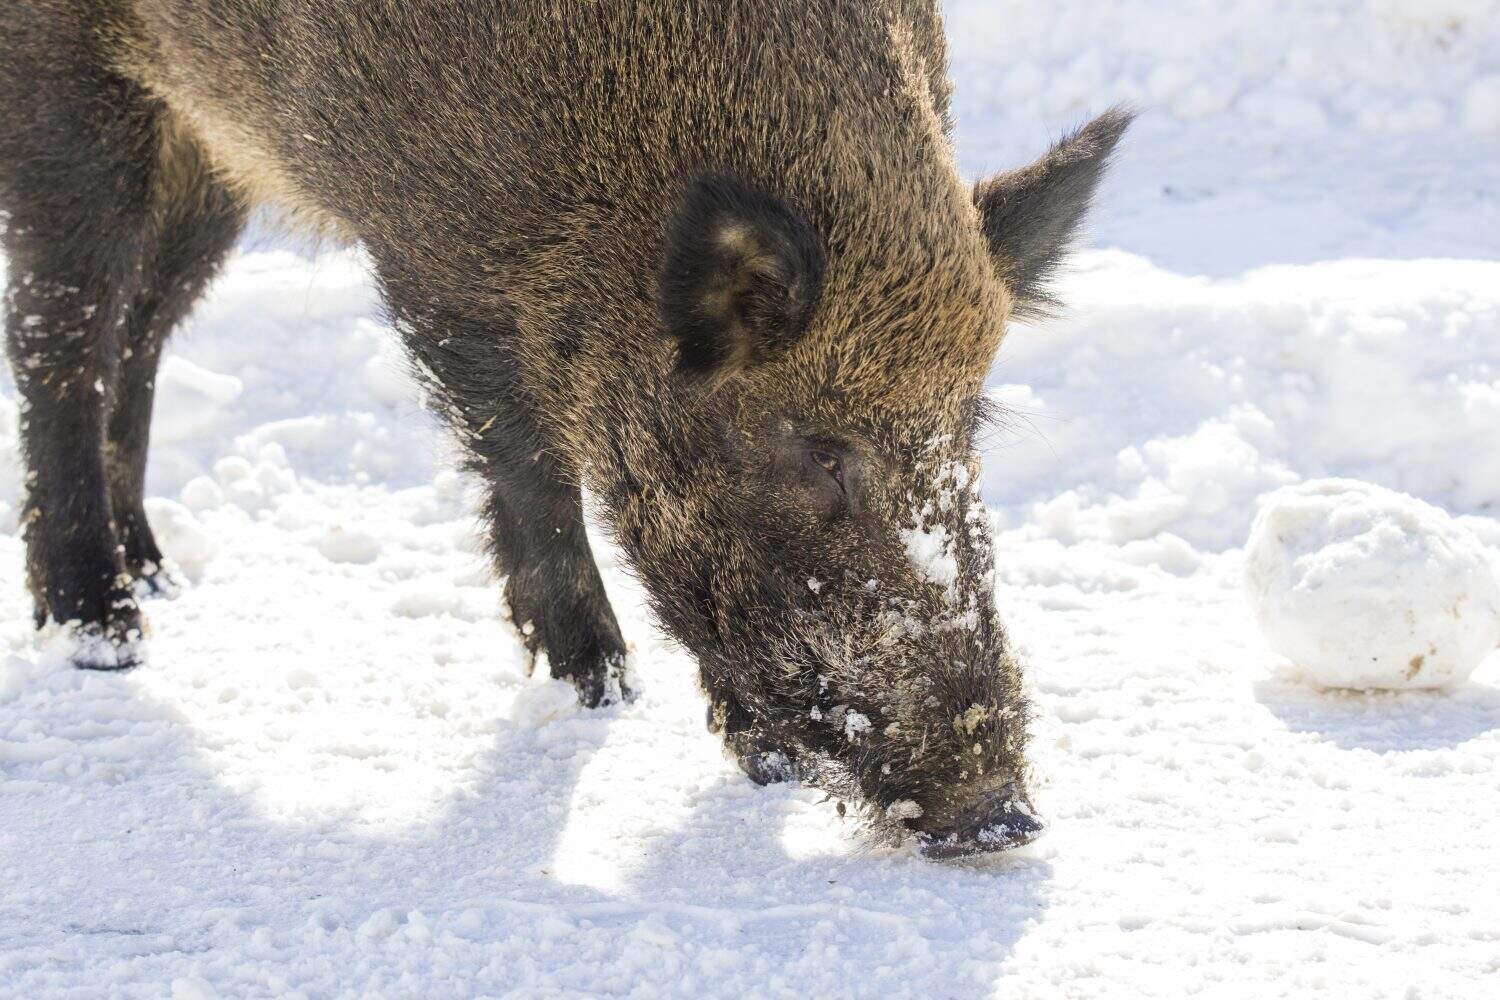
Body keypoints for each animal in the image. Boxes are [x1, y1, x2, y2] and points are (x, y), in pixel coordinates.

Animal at [0, 1, 1128, 857]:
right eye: (819, 449)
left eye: (965, 432)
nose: (1001, 817)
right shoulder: (439, 261)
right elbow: (522, 455)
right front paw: (603, 688)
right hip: (68, 80)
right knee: (65, 327)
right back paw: (104, 631)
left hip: (205, 138)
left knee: (145, 321)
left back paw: (158, 577)